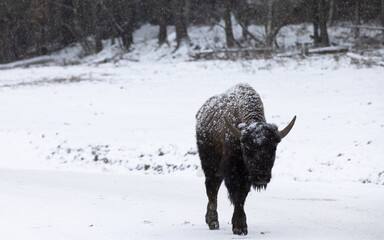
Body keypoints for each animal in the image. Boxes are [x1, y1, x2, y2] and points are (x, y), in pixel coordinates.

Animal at [196, 82, 296, 234]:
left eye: (274, 148)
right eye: (247, 148)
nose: (262, 177)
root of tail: (201, 112)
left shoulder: (247, 175)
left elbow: (242, 195)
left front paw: (240, 225)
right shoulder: (233, 171)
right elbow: (237, 194)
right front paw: (239, 227)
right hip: (210, 164)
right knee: (212, 188)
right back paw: (213, 222)